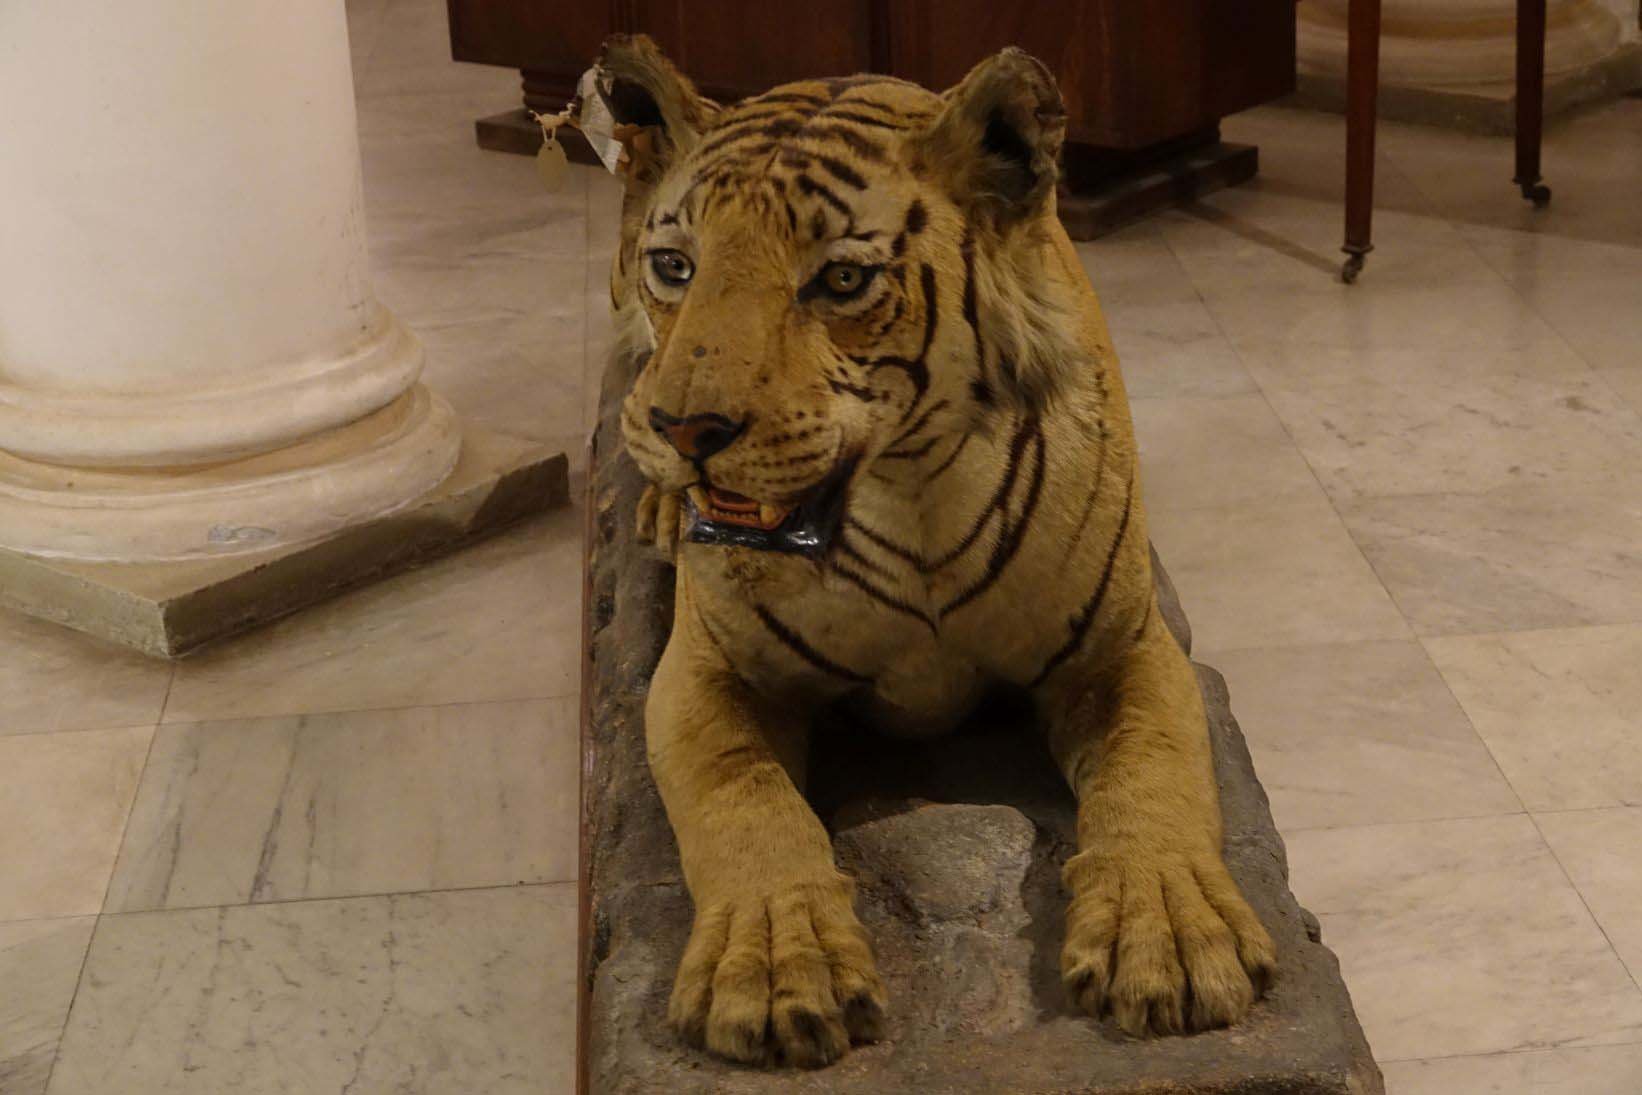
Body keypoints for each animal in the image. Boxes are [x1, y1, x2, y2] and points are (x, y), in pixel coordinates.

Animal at [597, 34, 1276, 1069]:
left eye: (842, 280)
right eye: (676, 266)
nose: (688, 429)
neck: (905, 496)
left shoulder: (1121, 649)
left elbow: (1156, 773)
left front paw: (1169, 936)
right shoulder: (707, 669)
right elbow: (743, 801)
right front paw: (774, 969)